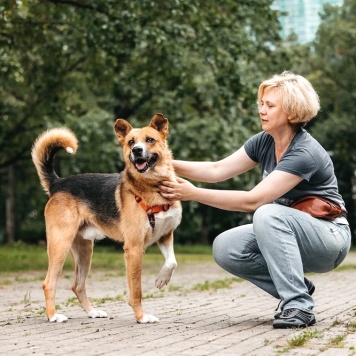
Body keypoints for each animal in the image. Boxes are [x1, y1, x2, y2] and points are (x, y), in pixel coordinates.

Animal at [31, 113, 182, 322]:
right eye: (131, 142)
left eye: (150, 140)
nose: (136, 150)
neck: (153, 186)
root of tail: (58, 183)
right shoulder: (134, 249)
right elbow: (136, 291)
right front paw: (141, 317)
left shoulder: (165, 236)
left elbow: (172, 261)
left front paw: (162, 278)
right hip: (60, 244)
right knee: (49, 283)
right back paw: (53, 316)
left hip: (85, 250)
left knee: (77, 285)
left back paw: (92, 312)